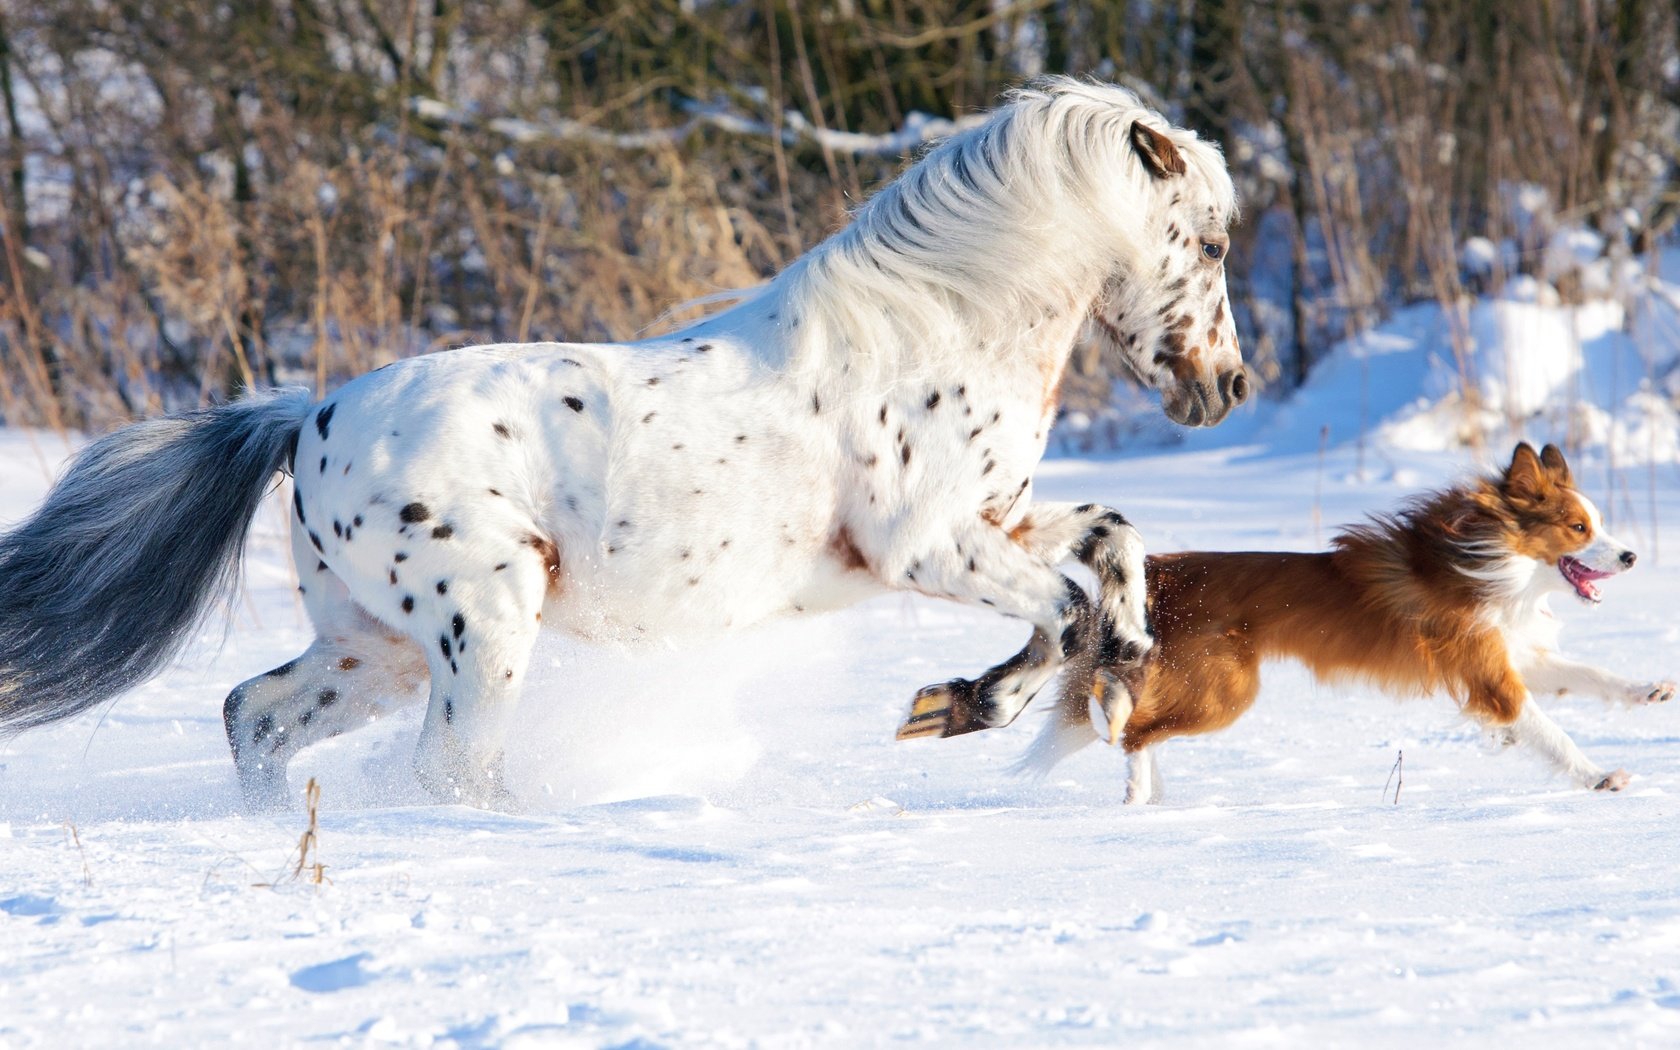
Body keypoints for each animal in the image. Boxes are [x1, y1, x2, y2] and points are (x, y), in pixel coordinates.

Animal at [0, 77, 1236, 806]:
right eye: (1214, 242)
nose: (1224, 388)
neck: (935, 323)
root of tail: (305, 420)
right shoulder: (925, 548)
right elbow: (1061, 612)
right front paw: (968, 705)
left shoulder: (997, 520)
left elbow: (1111, 537)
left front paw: (1121, 651)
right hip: (483, 625)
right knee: (448, 767)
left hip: (375, 647)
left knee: (256, 718)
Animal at [1021, 443, 1666, 803]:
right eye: (1579, 528)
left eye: (1598, 524)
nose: (1633, 556)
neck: (1492, 563)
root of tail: (1156, 572)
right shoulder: (1490, 676)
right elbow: (1551, 733)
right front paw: (1598, 778)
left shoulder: (1515, 655)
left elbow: (1592, 674)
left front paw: (1649, 689)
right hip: (1224, 691)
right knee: (1133, 732)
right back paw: (1136, 800)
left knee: (1143, 726)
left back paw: (1153, 797)